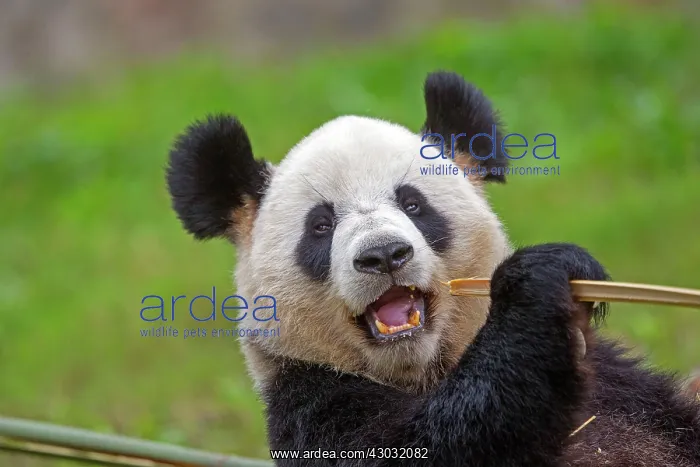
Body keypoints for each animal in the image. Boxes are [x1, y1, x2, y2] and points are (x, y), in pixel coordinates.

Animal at [166, 71, 700, 466]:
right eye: (320, 225)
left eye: (413, 204)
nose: (384, 255)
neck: (425, 371)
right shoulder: (313, 404)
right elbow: (433, 445)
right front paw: (540, 280)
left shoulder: (626, 389)